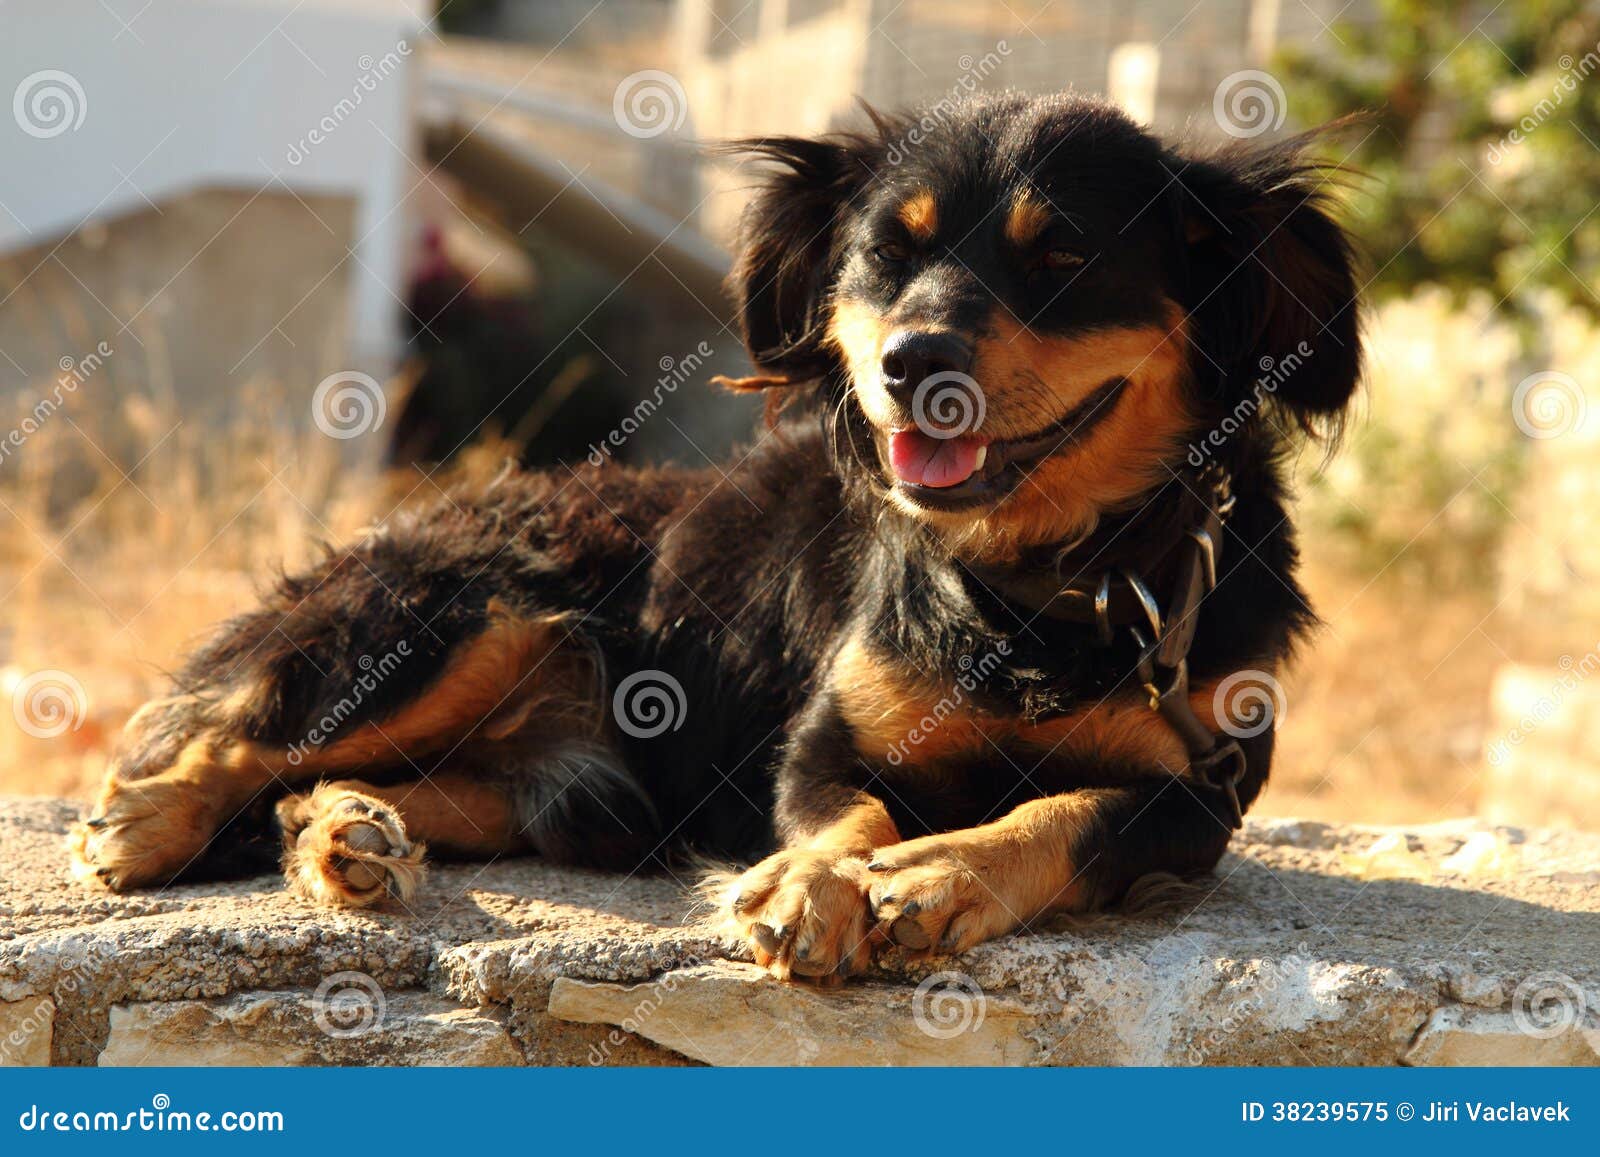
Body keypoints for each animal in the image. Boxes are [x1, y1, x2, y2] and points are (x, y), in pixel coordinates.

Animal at [65, 95, 1363, 985]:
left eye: (1065, 258)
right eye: (885, 255)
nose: (913, 363)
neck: (1038, 582)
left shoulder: (1197, 795)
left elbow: (1075, 810)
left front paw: (941, 869)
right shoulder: (818, 742)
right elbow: (844, 811)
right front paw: (816, 883)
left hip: (582, 796)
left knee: (337, 788)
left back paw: (348, 832)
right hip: (473, 614)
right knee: (252, 736)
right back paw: (147, 821)